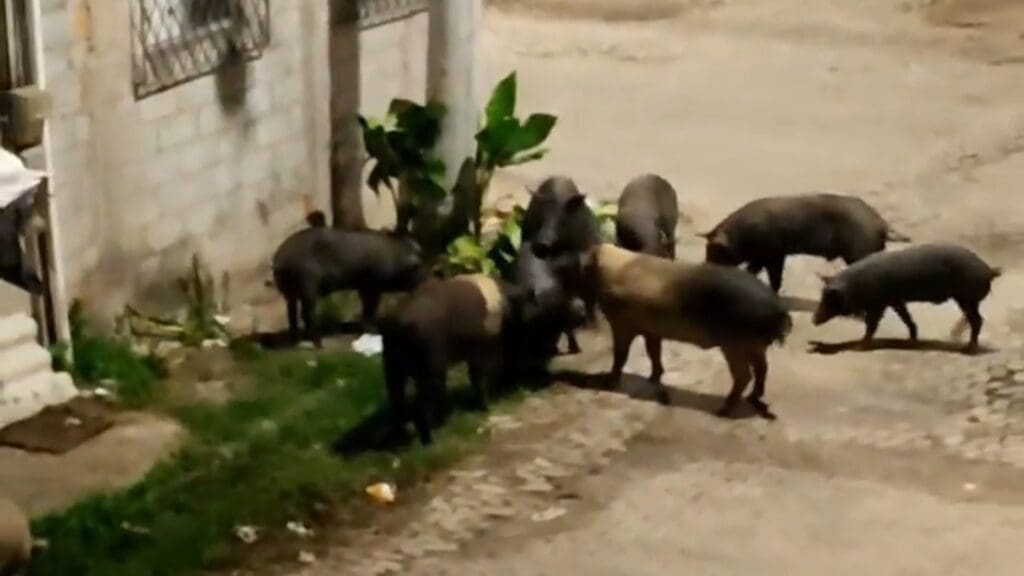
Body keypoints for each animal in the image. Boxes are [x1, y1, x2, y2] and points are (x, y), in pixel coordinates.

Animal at [585, 241, 790, 416]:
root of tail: (777, 308)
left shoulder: (622, 325)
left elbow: (620, 355)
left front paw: (609, 383)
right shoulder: (651, 330)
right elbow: (653, 352)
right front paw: (653, 378)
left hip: (735, 344)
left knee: (744, 375)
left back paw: (721, 410)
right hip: (755, 345)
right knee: (763, 367)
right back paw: (751, 398)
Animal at [700, 193, 909, 291]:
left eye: (714, 251)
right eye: (707, 249)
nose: (706, 267)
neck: (741, 236)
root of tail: (881, 222)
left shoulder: (772, 254)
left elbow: (772, 276)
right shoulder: (773, 255)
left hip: (860, 252)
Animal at [806, 240, 999, 350]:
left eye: (829, 298)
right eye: (822, 295)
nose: (813, 319)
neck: (855, 286)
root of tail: (989, 270)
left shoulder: (879, 304)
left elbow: (872, 324)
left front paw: (860, 347)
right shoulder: (895, 300)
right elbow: (906, 317)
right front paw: (912, 340)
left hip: (967, 298)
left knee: (977, 320)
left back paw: (968, 348)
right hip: (967, 299)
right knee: (974, 318)